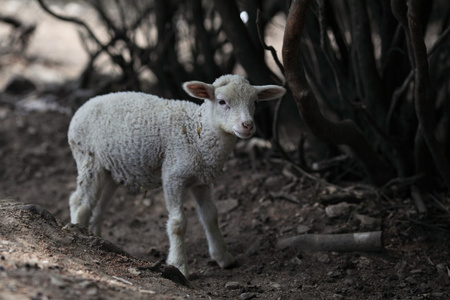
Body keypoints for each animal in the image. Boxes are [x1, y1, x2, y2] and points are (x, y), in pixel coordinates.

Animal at [67, 74, 284, 278]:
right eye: (222, 102)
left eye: (255, 102)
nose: (247, 125)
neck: (197, 133)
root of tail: (83, 107)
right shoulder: (173, 176)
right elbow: (178, 223)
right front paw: (179, 265)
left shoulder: (201, 180)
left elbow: (210, 216)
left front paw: (223, 257)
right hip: (88, 158)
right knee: (79, 202)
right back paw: (78, 231)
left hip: (111, 170)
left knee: (98, 207)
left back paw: (96, 238)